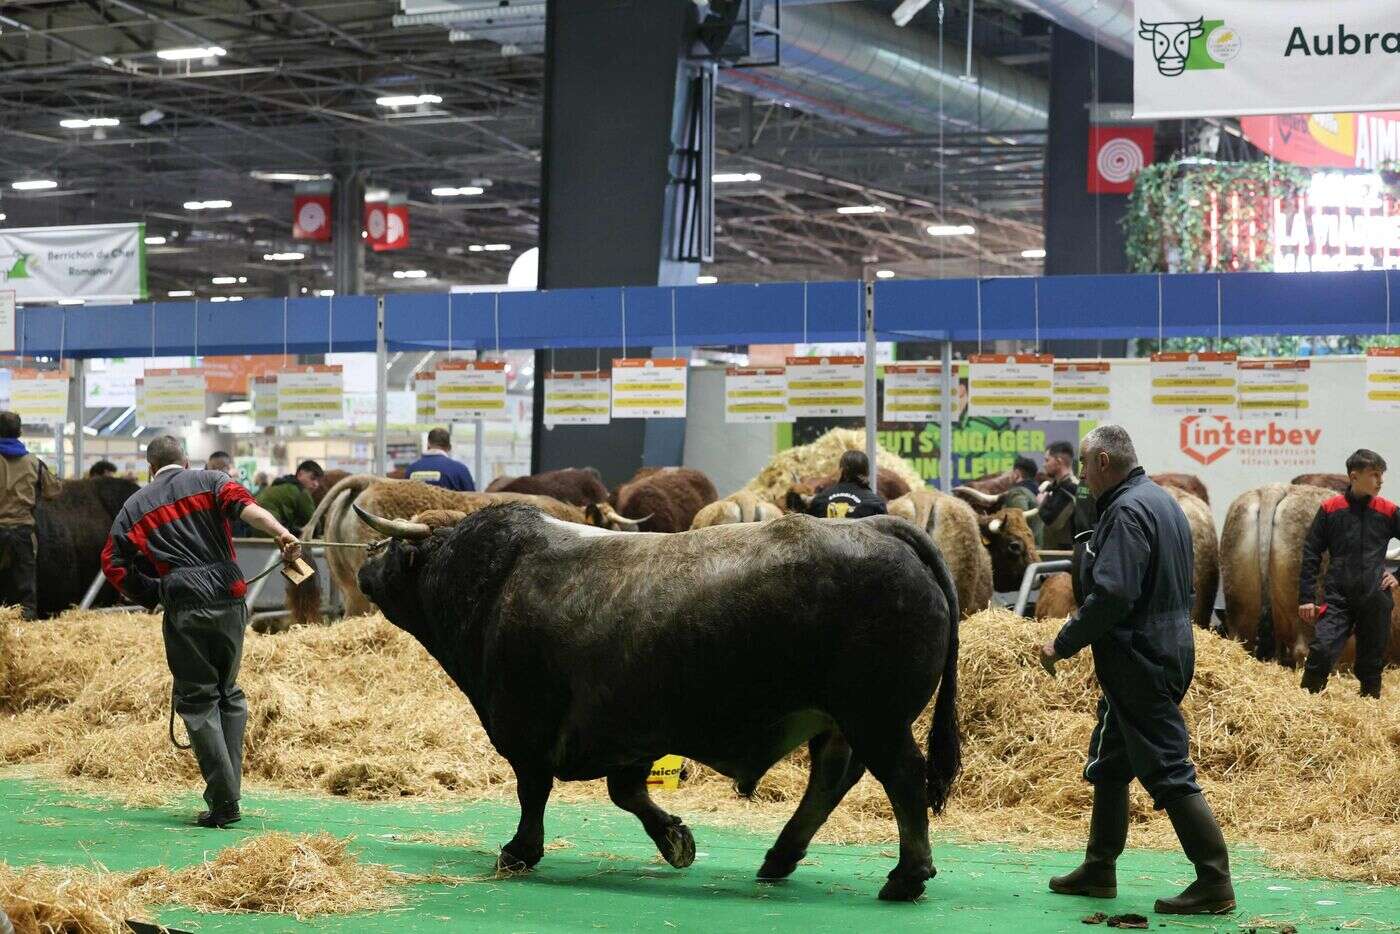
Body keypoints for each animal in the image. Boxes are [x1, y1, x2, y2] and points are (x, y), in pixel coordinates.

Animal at [358, 506, 963, 901]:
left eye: (394, 550)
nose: (365, 559)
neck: (495, 580)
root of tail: (878, 526)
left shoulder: (528, 729)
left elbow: (534, 792)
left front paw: (519, 851)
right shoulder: (631, 733)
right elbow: (626, 793)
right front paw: (675, 837)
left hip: (876, 718)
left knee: (901, 779)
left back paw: (906, 877)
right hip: (840, 721)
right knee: (833, 778)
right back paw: (779, 857)